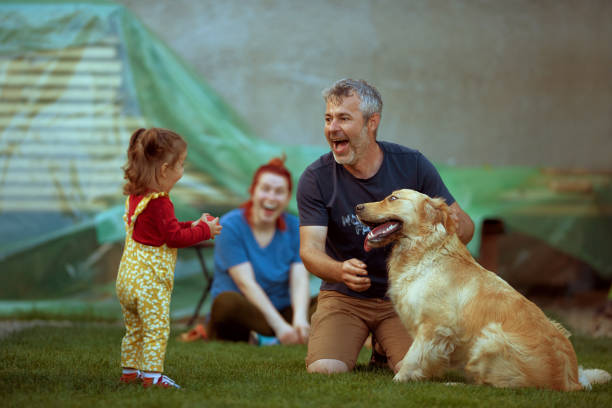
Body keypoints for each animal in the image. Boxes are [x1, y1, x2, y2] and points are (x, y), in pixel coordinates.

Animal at [356, 190, 608, 390]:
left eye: (393, 198)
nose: (357, 207)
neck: (424, 251)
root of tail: (571, 382)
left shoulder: (434, 327)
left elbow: (411, 358)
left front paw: (399, 379)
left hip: (491, 337)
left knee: (491, 385)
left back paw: (453, 384)